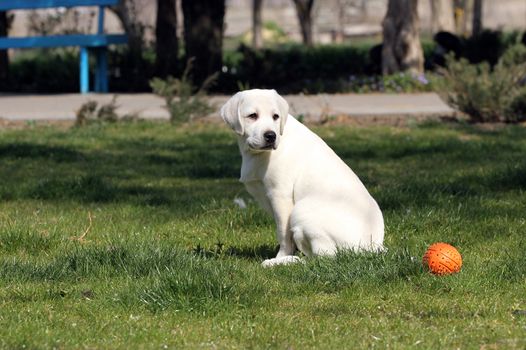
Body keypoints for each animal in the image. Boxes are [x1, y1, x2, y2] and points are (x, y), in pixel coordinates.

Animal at [221, 89, 386, 266]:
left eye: (275, 116)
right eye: (252, 116)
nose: (271, 136)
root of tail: (371, 248)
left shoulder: (280, 195)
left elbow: (283, 233)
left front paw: (281, 256)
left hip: (301, 210)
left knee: (322, 258)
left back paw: (282, 262)